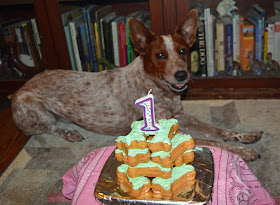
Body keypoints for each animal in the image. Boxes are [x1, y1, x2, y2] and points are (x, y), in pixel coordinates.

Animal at [10, 10, 262, 162]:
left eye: (182, 51)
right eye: (160, 55)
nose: (182, 74)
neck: (157, 89)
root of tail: (18, 89)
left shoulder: (179, 115)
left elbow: (217, 130)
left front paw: (245, 136)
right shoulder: (161, 132)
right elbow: (212, 140)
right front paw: (244, 151)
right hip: (33, 108)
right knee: (49, 127)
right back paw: (70, 133)